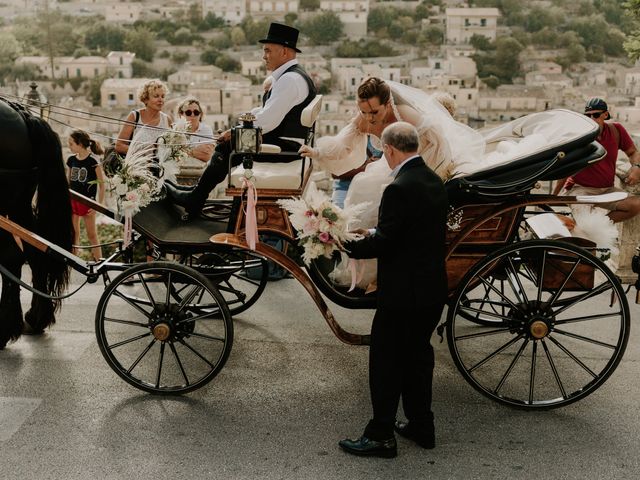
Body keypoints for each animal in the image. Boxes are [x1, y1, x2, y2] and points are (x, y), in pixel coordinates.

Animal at [0, 99, 73, 350]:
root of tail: (23, 114)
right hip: (19, 203)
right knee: (36, 249)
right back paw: (35, 318)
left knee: (11, 255)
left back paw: (5, 328)